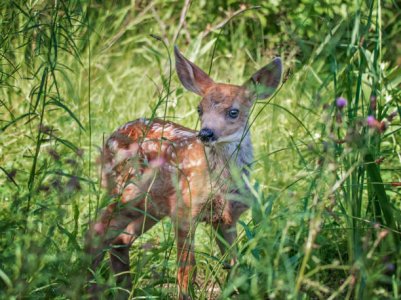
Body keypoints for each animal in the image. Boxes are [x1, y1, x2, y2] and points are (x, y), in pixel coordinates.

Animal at [86, 47, 282, 298]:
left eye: (233, 112)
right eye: (200, 109)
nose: (206, 133)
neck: (221, 183)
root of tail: (110, 138)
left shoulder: (228, 217)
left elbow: (234, 264)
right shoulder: (185, 209)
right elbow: (187, 269)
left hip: (151, 207)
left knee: (120, 238)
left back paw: (124, 290)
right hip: (126, 192)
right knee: (96, 232)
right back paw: (89, 288)